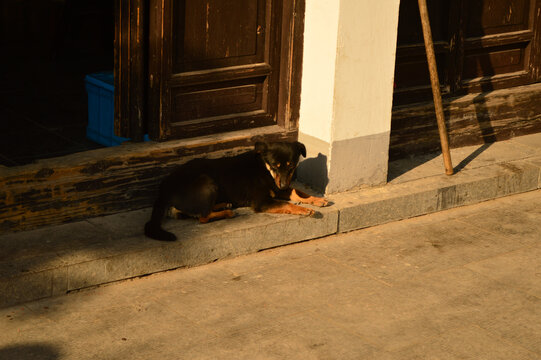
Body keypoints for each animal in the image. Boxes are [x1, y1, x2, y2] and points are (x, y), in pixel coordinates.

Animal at [143, 141, 326, 242]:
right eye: (275, 166)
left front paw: (317, 199)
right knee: (202, 217)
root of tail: (163, 189)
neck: (264, 167)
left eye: (291, 166)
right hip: (207, 183)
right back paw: (227, 212)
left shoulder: (279, 188)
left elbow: (299, 192)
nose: (282, 185)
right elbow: (287, 204)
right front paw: (305, 210)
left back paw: (224, 205)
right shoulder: (262, 202)